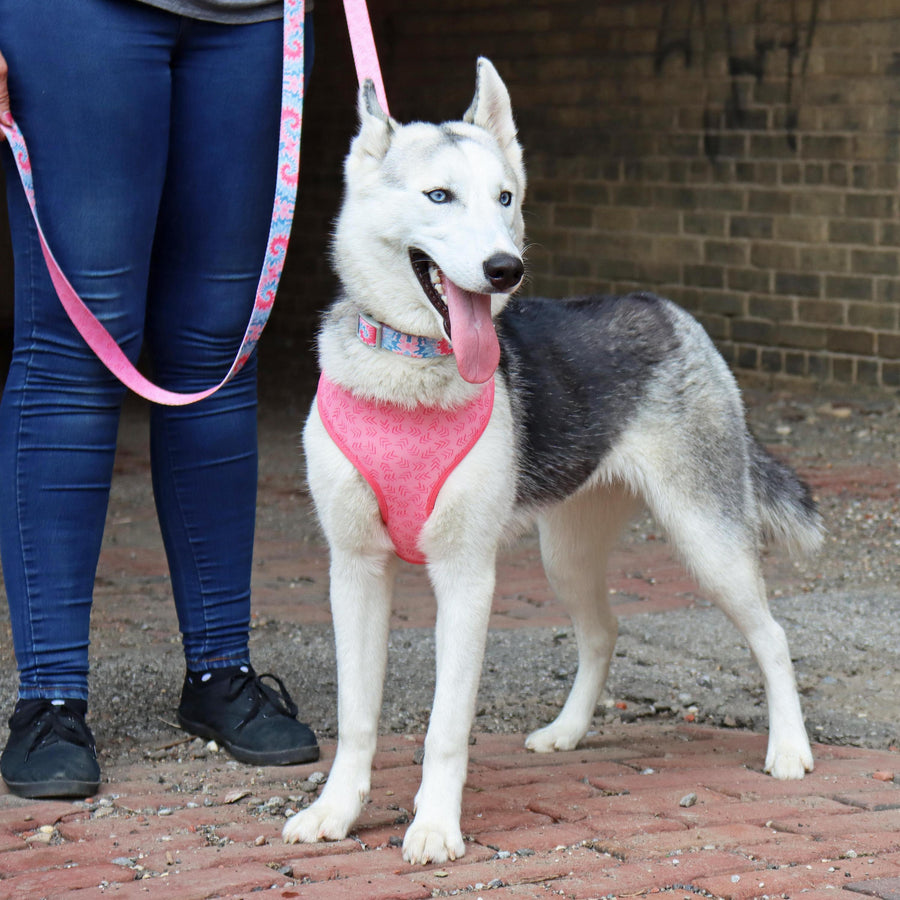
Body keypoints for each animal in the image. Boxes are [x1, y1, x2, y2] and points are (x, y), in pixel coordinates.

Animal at [286, 58, 824, 864]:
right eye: (439, 196)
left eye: (505, 197)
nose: (504, 269)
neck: (409, 371)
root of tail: (670, 310)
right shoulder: (353, 570)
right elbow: (356, 717)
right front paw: (337, 811)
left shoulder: (466, 578)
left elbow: (446, 729)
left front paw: (435, 825)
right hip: (564, 552)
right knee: (602, 633)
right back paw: (569, 732)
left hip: (708, 541)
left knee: (773, 636)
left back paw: (789, 749)